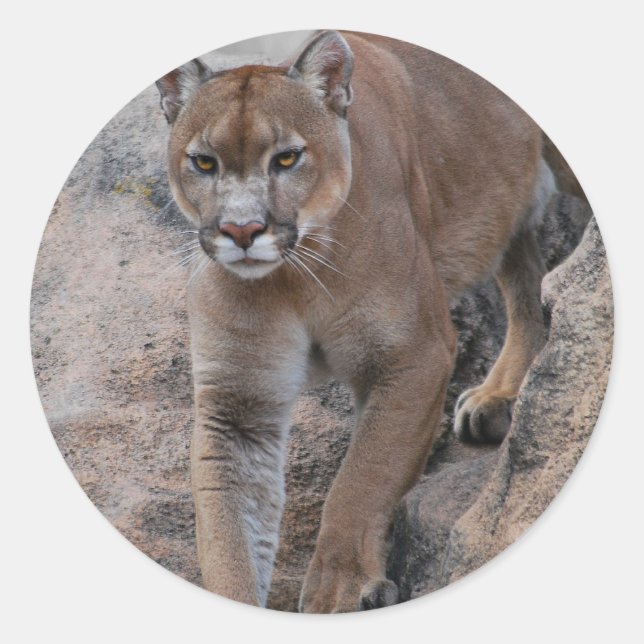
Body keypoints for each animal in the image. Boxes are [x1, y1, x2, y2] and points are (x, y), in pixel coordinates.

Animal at [155, 30, 582, 612]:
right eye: (203, 163)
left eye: (286, 158)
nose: (242, 230)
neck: (293, 278)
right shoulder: (238, 403)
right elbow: (228, 528)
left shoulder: (412, 354)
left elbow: (362, 478)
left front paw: (338, 590)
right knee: (526, 288)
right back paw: (497, 398)